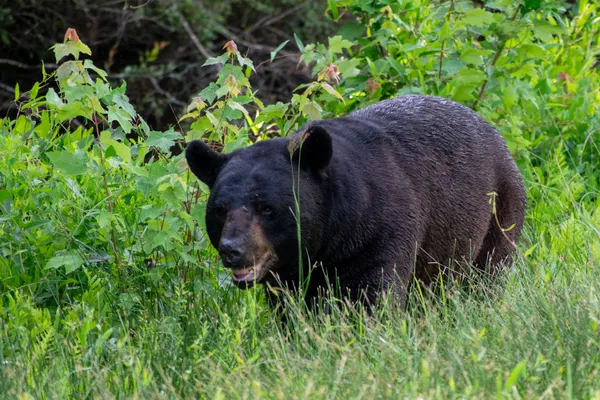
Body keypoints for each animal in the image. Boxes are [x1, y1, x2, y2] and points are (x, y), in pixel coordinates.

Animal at [186, 95, 524, 308]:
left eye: (266, 207)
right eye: (220, 210)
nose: (232, 249)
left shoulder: (381, 231)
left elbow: (372, 294)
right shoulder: (289, 272)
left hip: (499, 210)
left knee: (486, 273)